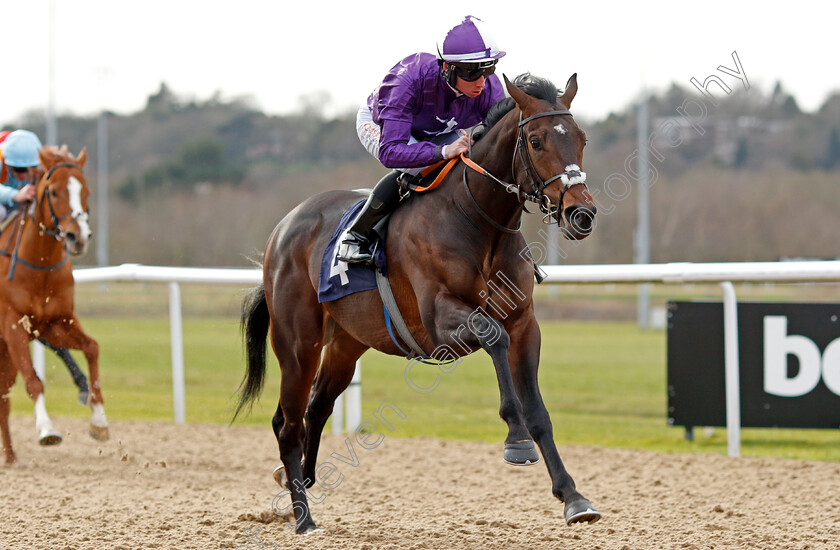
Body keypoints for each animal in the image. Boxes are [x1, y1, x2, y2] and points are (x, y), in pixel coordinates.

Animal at [0, 147, 108, 466]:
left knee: (2, 398)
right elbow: (34, 381)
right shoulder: (12, 324)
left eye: (86, 190)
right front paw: (47, 430)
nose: (78, 237)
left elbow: (92, 347)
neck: (40, 264)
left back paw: (11, 457)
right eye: (54, 191)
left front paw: (99, 421)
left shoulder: (54, 322)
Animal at [240, 73, 600, 536]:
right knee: (287, 423)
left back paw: (300, 480)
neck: (475, 217)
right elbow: (492, 335)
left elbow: (538, 409)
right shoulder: (440, 320)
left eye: (581, 138)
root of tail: (283, 228)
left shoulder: (524, 324)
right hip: (297, 343)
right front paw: (516, 439)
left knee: (315, 409)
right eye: (536, 141)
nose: (581, 213)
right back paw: (304, 519)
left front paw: (573, 497)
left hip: (346, 344)